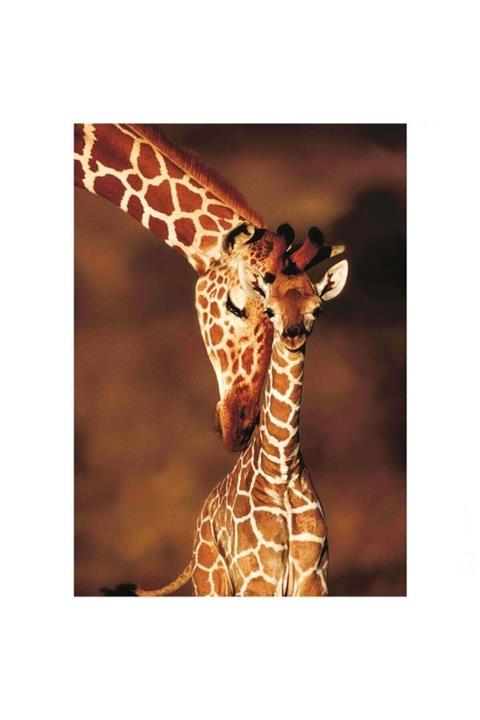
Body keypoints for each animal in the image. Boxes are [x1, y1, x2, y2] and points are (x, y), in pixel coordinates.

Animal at [102, 254, 348, 596]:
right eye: (270, 310)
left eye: (317, 309)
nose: (293, 334)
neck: (282, 468)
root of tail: (198, 533)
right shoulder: (258, 580)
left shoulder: (313, 579)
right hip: (211, 581)